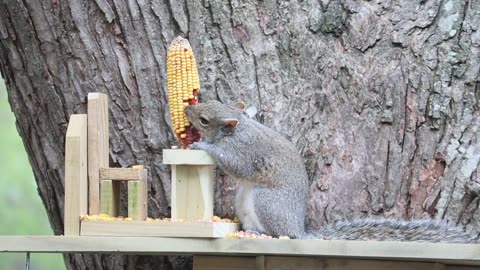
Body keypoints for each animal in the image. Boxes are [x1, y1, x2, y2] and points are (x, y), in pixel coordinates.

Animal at [183, 99, 476, 243]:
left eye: (204, 119)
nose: (186, 108)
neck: (238, 129)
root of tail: (300, 230)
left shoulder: (246, 151)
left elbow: (234, 164)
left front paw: (203, 145)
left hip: (268, 202)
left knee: (282, 234)